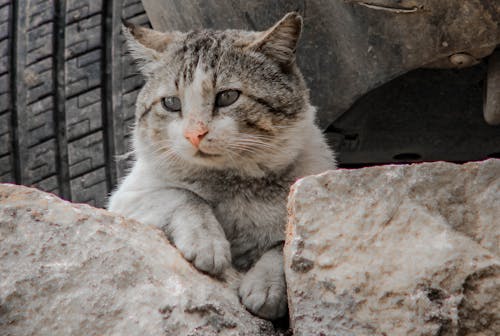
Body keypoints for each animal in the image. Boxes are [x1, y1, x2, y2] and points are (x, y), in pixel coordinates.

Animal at [109, 12, 336, 320]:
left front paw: (266, 286)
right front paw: (208, 244)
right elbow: (185, 196)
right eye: (171, 103)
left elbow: (284, 245)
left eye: (227, 97)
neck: (236, 184)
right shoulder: (125, 201)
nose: (194, 135)